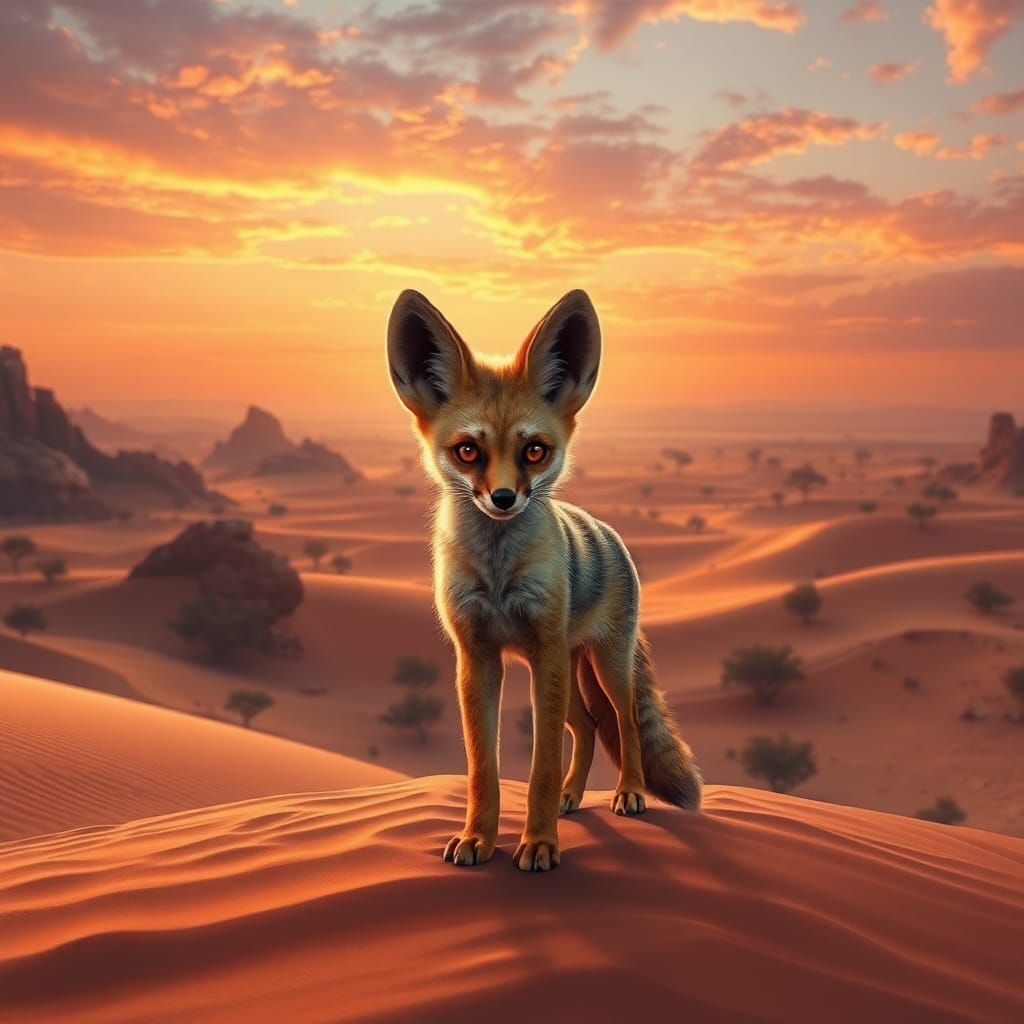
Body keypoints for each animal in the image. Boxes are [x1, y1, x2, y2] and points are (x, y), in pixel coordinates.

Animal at [386, 288, 702, 872]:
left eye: (534, 450)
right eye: (468, 451)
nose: (504, 499)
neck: (498, 576)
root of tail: (610, 534)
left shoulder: (543, 650)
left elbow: (541, 766)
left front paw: (538, 844)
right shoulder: (477, 655)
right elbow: (483, 768)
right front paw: (478, 838)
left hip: (602, 664)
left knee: (623, 721)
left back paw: (629, 793)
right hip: (569, 668)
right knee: (588, 726)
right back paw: (571, 797)